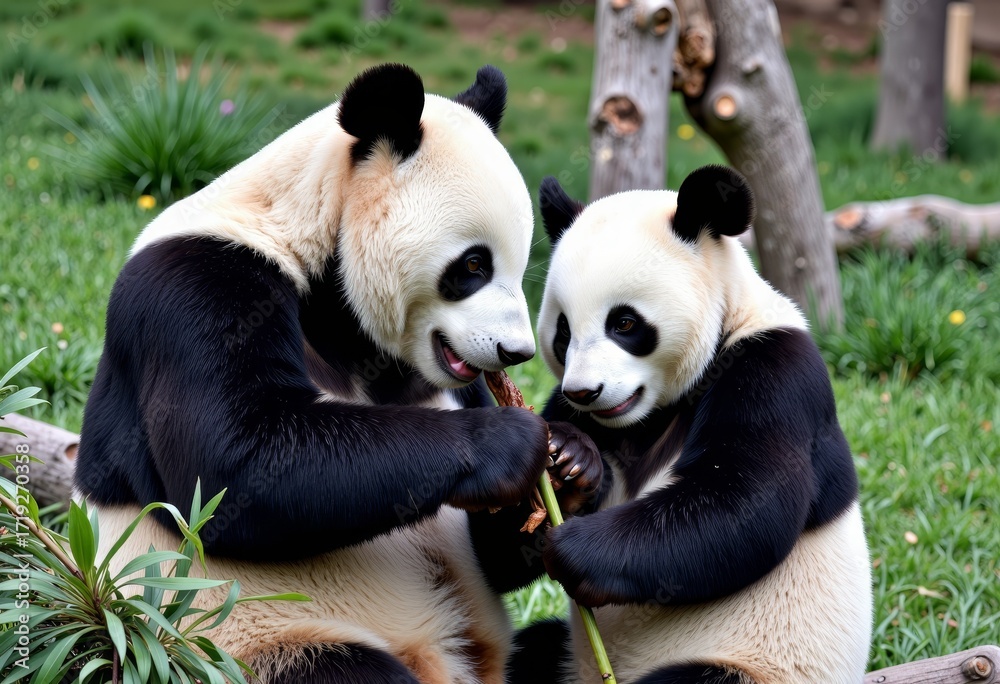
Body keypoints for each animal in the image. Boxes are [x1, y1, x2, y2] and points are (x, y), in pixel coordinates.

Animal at [75, 64, 573, 684]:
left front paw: (572, 464)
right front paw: (511, 442)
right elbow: (235, 465)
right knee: (344, 669)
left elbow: (495, 554)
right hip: (232, 645)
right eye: (474, 265)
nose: (515, 352)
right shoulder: (196, 286)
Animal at [512, 165, 873, 683]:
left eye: (624, 323)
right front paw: (568, 462)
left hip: (748, 664)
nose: (585, 392)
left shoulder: (775, 371)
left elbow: (743, 499)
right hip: (565, 655)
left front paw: (573, 548)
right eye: (563, 331)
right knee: (530, 650)